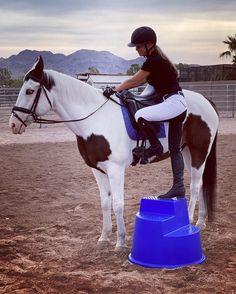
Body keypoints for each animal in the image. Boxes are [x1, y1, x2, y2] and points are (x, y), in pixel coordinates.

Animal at [9, 56, 219, 250]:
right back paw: (201, 221)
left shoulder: (115, 169)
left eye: (29, 91)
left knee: (194, 186)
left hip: (199, 152)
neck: (95, 119)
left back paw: (189, 221)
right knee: (200, 184)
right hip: (187, 153)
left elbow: (118, 203)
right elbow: (104, 202)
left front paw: (121, 241)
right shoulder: (98, 170)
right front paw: (104, 236)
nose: (13, 123)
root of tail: (207, 101)